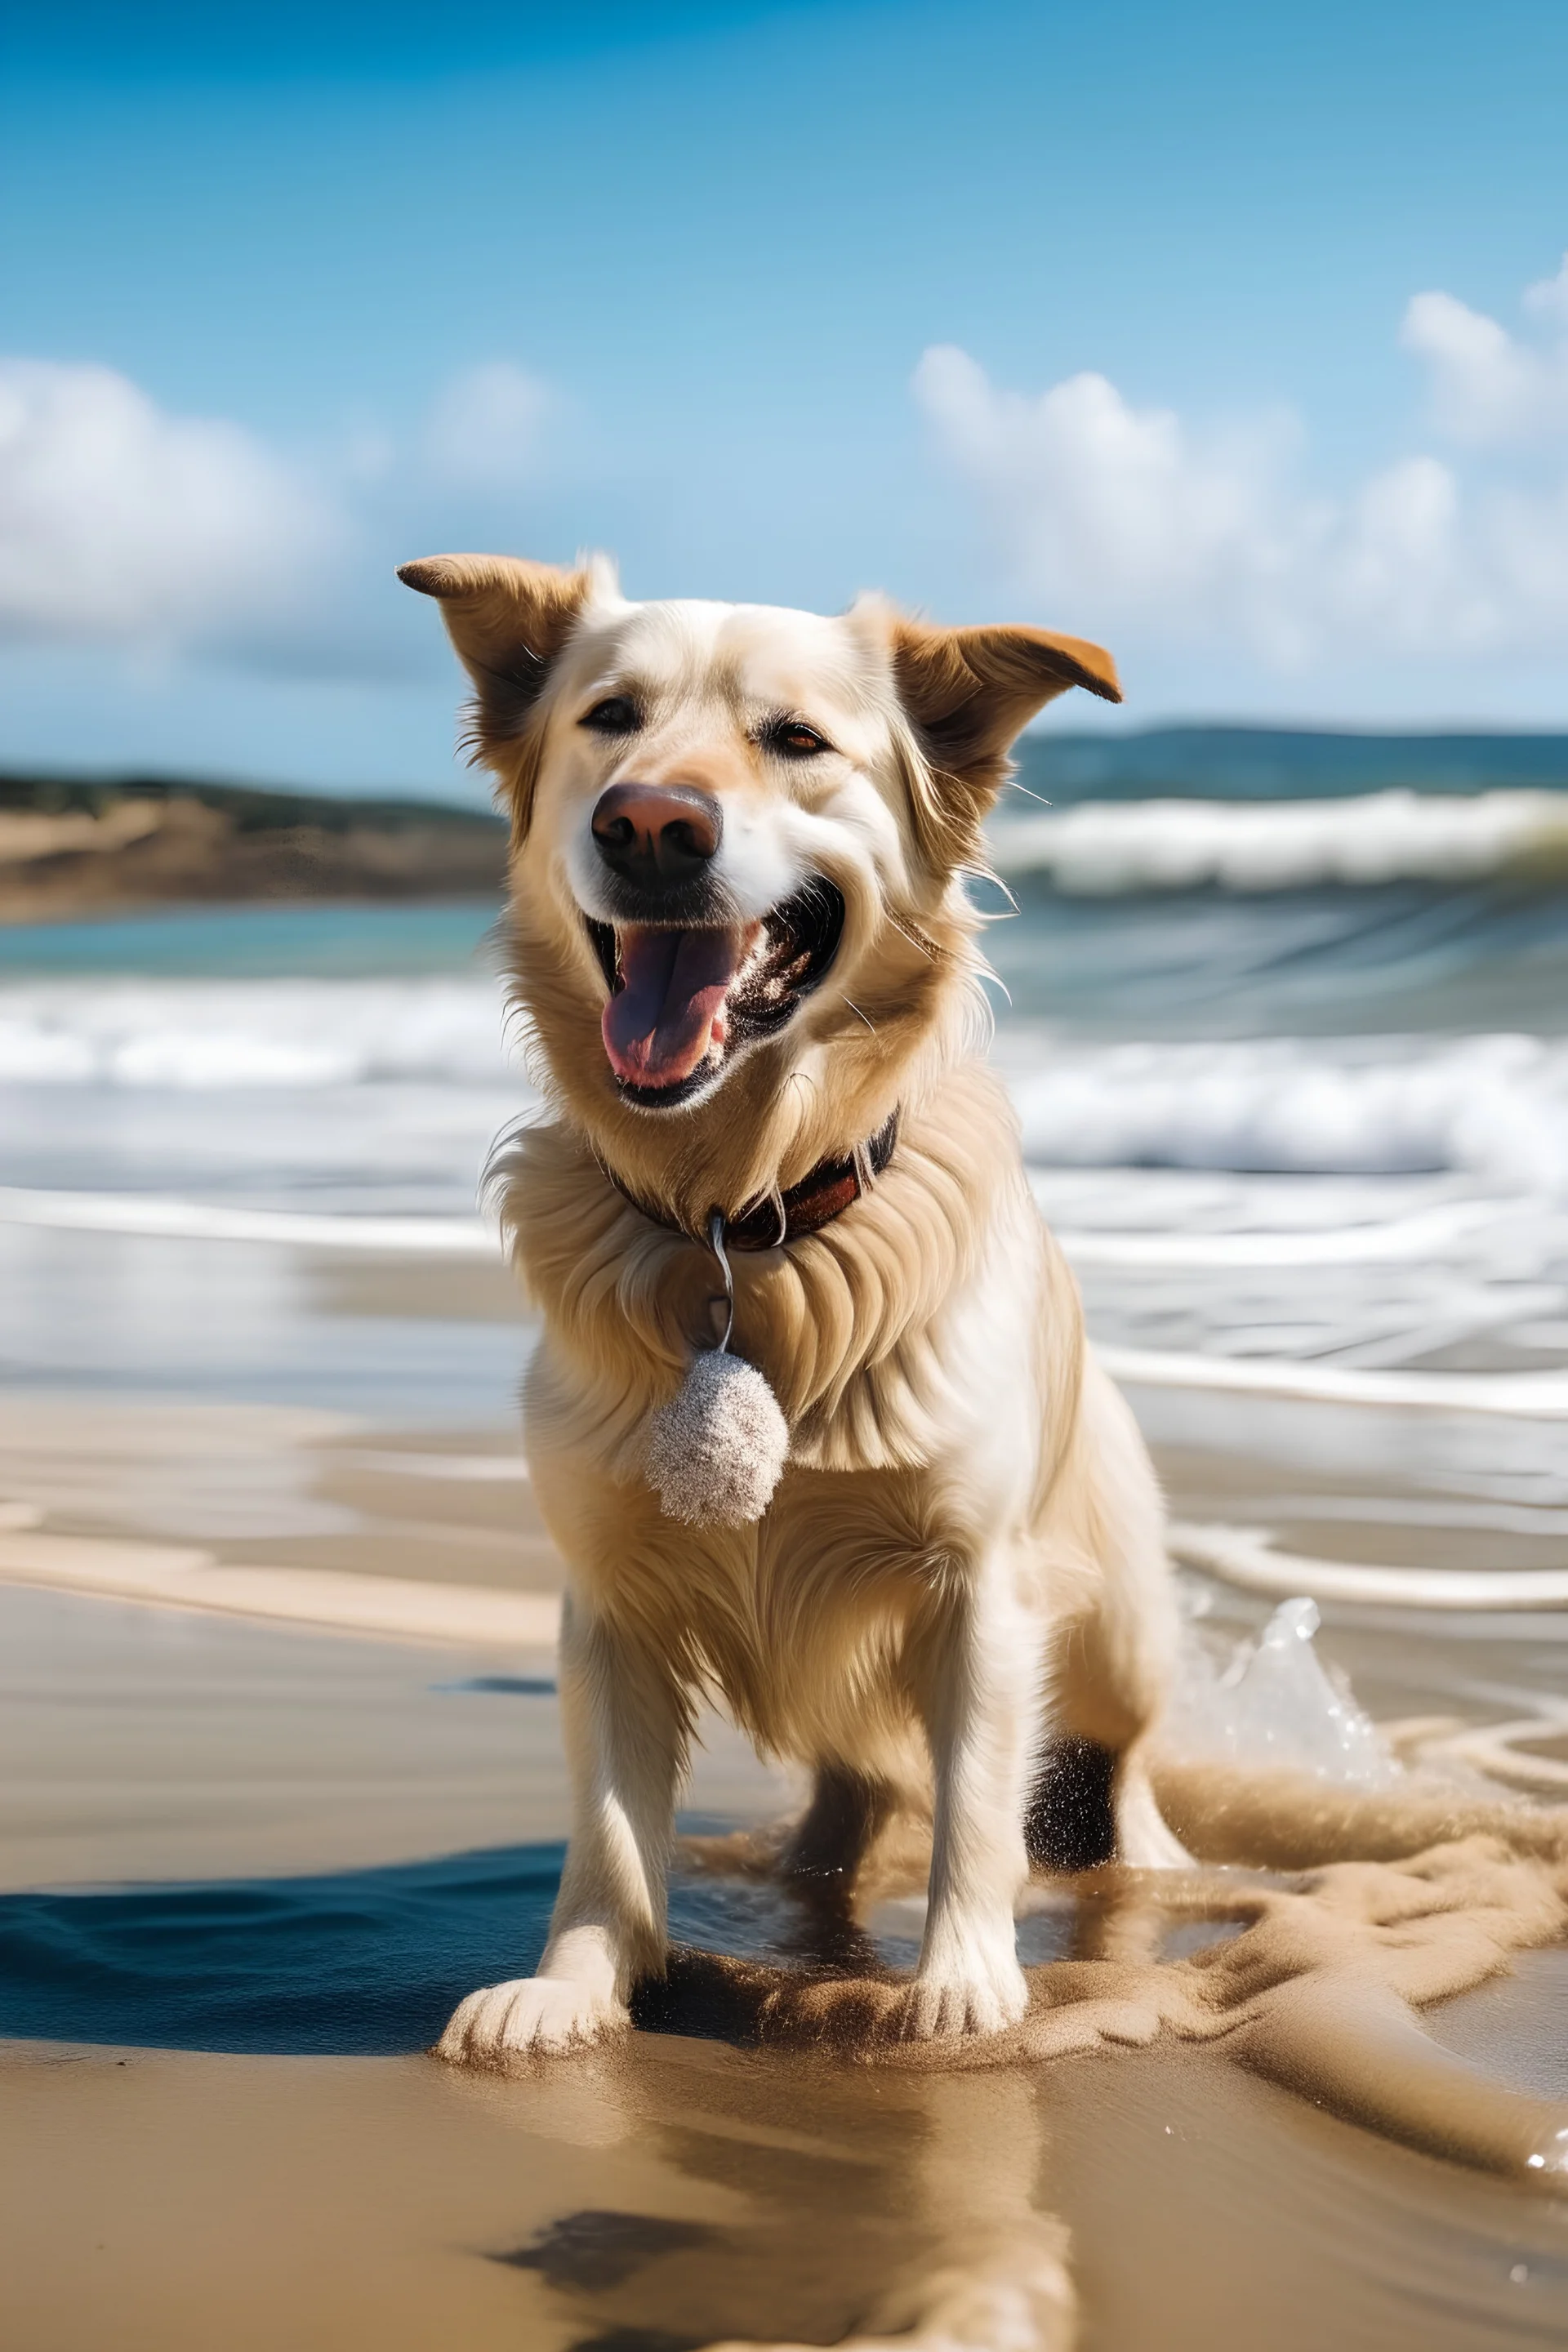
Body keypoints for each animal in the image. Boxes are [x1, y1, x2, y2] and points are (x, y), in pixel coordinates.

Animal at [399, 550, 1184, 2060]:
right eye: (609, 718)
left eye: (800, 740)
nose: (651, 823)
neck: (737, 1215)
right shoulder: (610, 1593)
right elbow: (608, 1828)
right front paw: (576, 1985)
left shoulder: (978, 1584)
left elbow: (980, 1809)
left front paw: (963, 1983)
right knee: (851, 1795)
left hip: (1116, 1632)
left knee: (1118, 1778)